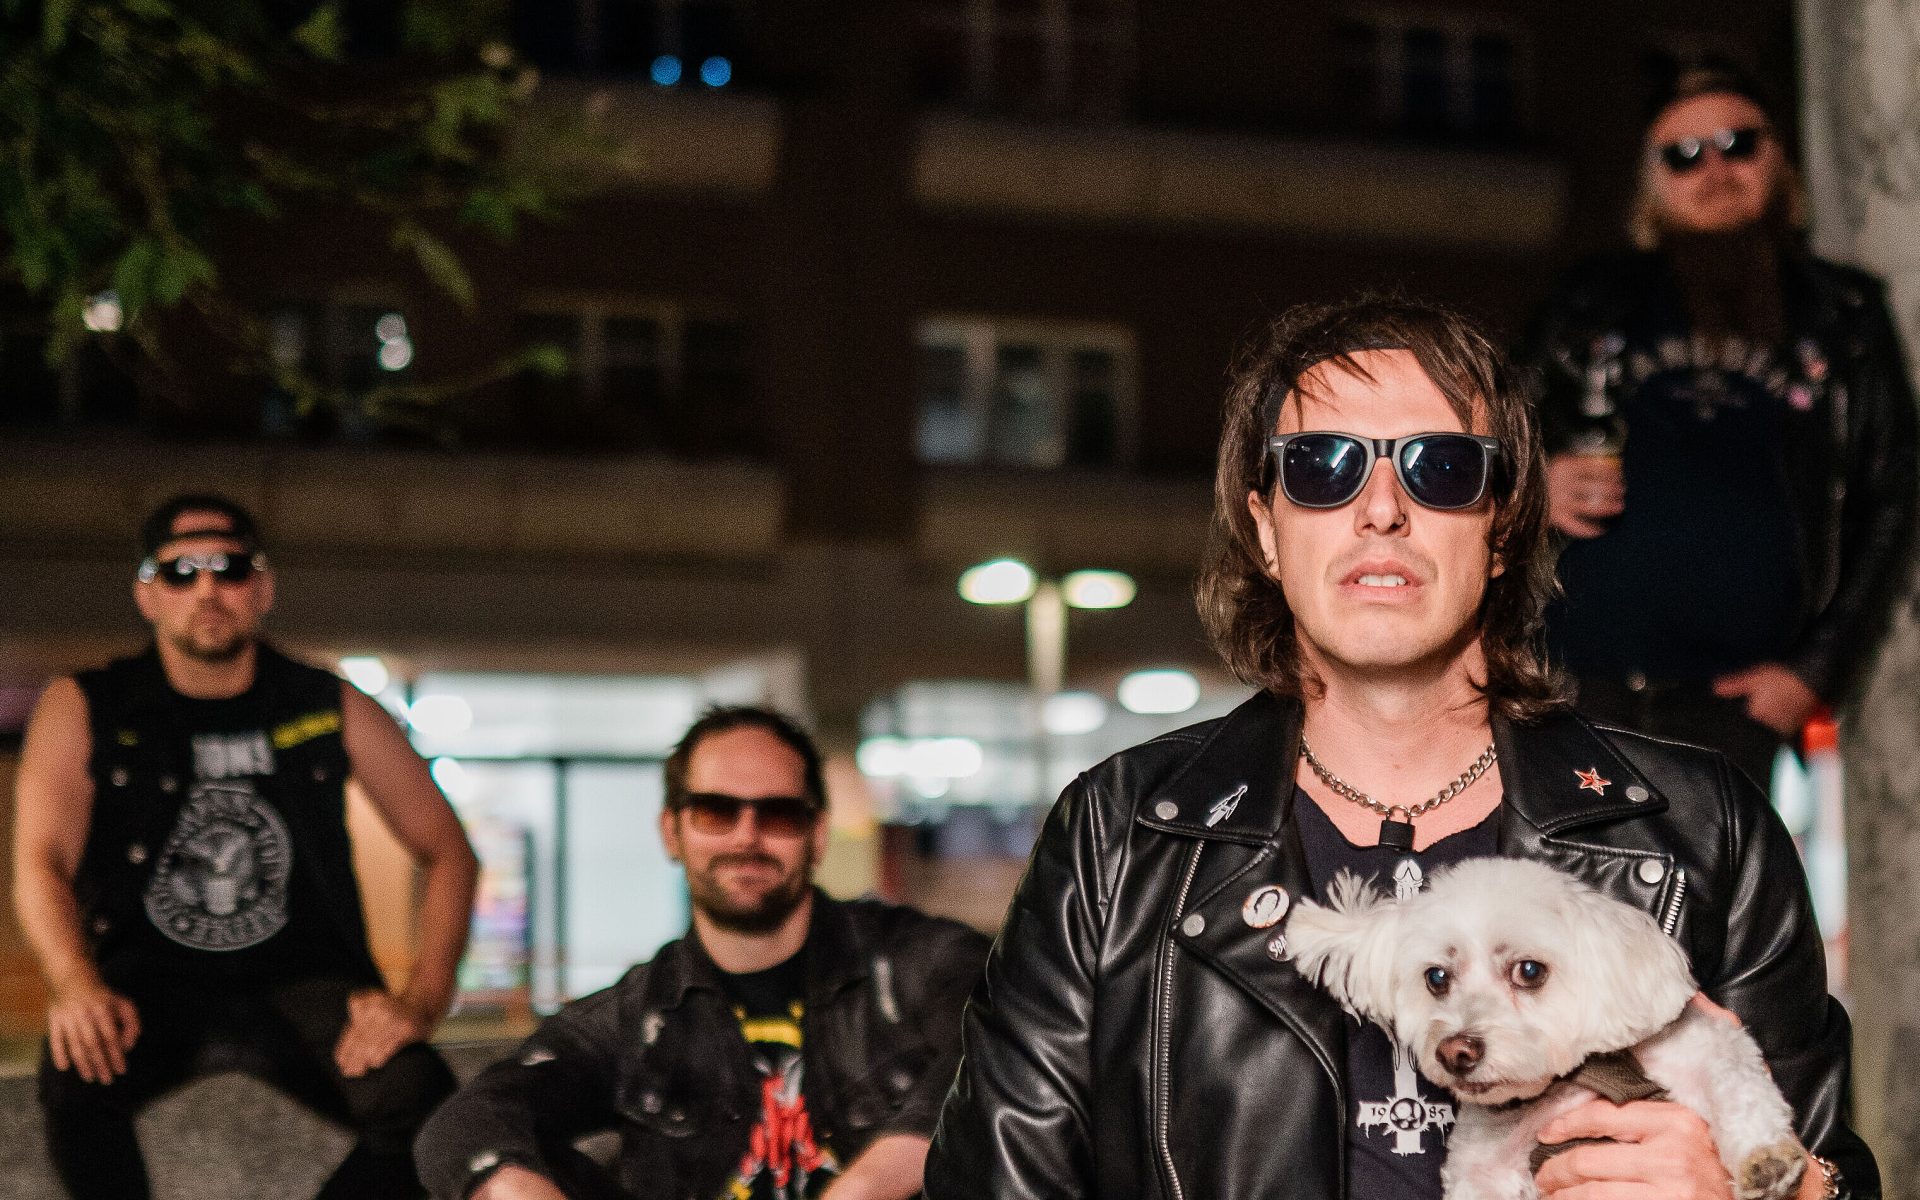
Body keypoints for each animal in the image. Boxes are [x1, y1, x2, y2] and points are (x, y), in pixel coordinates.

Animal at [1284, 856, 1806, 1200]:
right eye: (1436, 978)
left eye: (1529, 971)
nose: (1455, 1052)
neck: (1568, 1082)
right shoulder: (1485, 1169)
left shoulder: (1702, 1047)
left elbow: (1738, 1087)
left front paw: (1767, 1162)